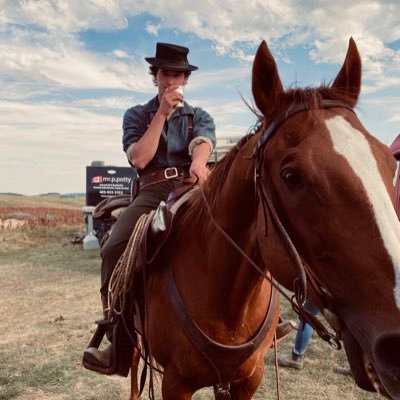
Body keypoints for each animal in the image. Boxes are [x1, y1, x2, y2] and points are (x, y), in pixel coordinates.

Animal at [130, 38, 400, 400]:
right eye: (291, 176)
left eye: (389, 161)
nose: (395, 346)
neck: (228, 303)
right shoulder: (176, 384)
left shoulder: (249, 377)